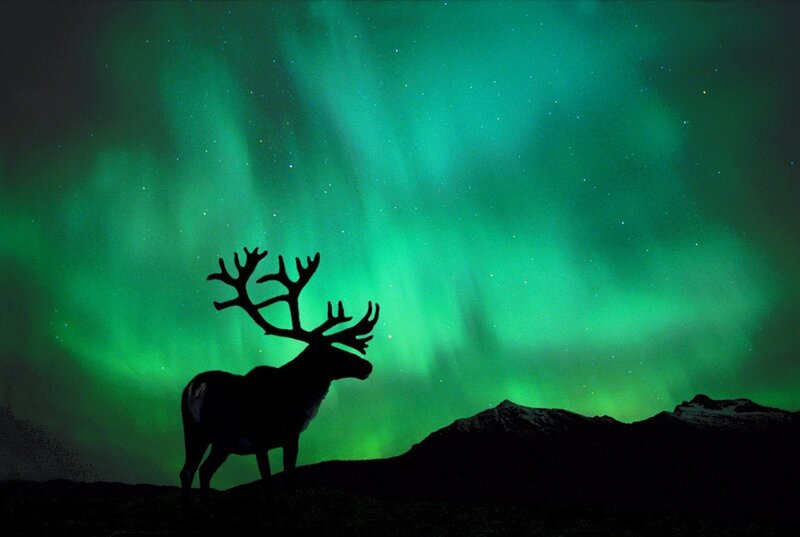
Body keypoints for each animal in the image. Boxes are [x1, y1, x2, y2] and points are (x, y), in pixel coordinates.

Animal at [179, 247, 379, 504]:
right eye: (330, 352)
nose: (367, 366)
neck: (299, 396)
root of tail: (195, 386)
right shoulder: (269, 437)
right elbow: (274, 482)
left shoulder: (283, 438)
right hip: (215, 435)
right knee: (196, 470)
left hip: (203, 435)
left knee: (195, 470)